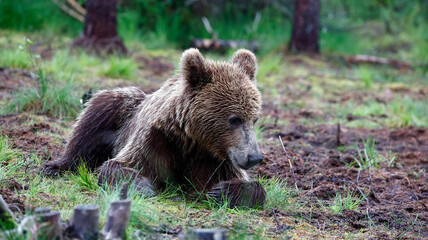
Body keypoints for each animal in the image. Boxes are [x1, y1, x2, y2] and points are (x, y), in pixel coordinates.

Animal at [42, 48, 264, 208]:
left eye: (254, 119)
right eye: (234, 119)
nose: (254, 156)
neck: (191, 139)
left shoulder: (213, 159)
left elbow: (250, 188)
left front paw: (221, 191)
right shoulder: (156, 141)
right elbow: (120, 166)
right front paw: (143, 186)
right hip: (122, 108)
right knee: (93, 120)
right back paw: (56, 166)